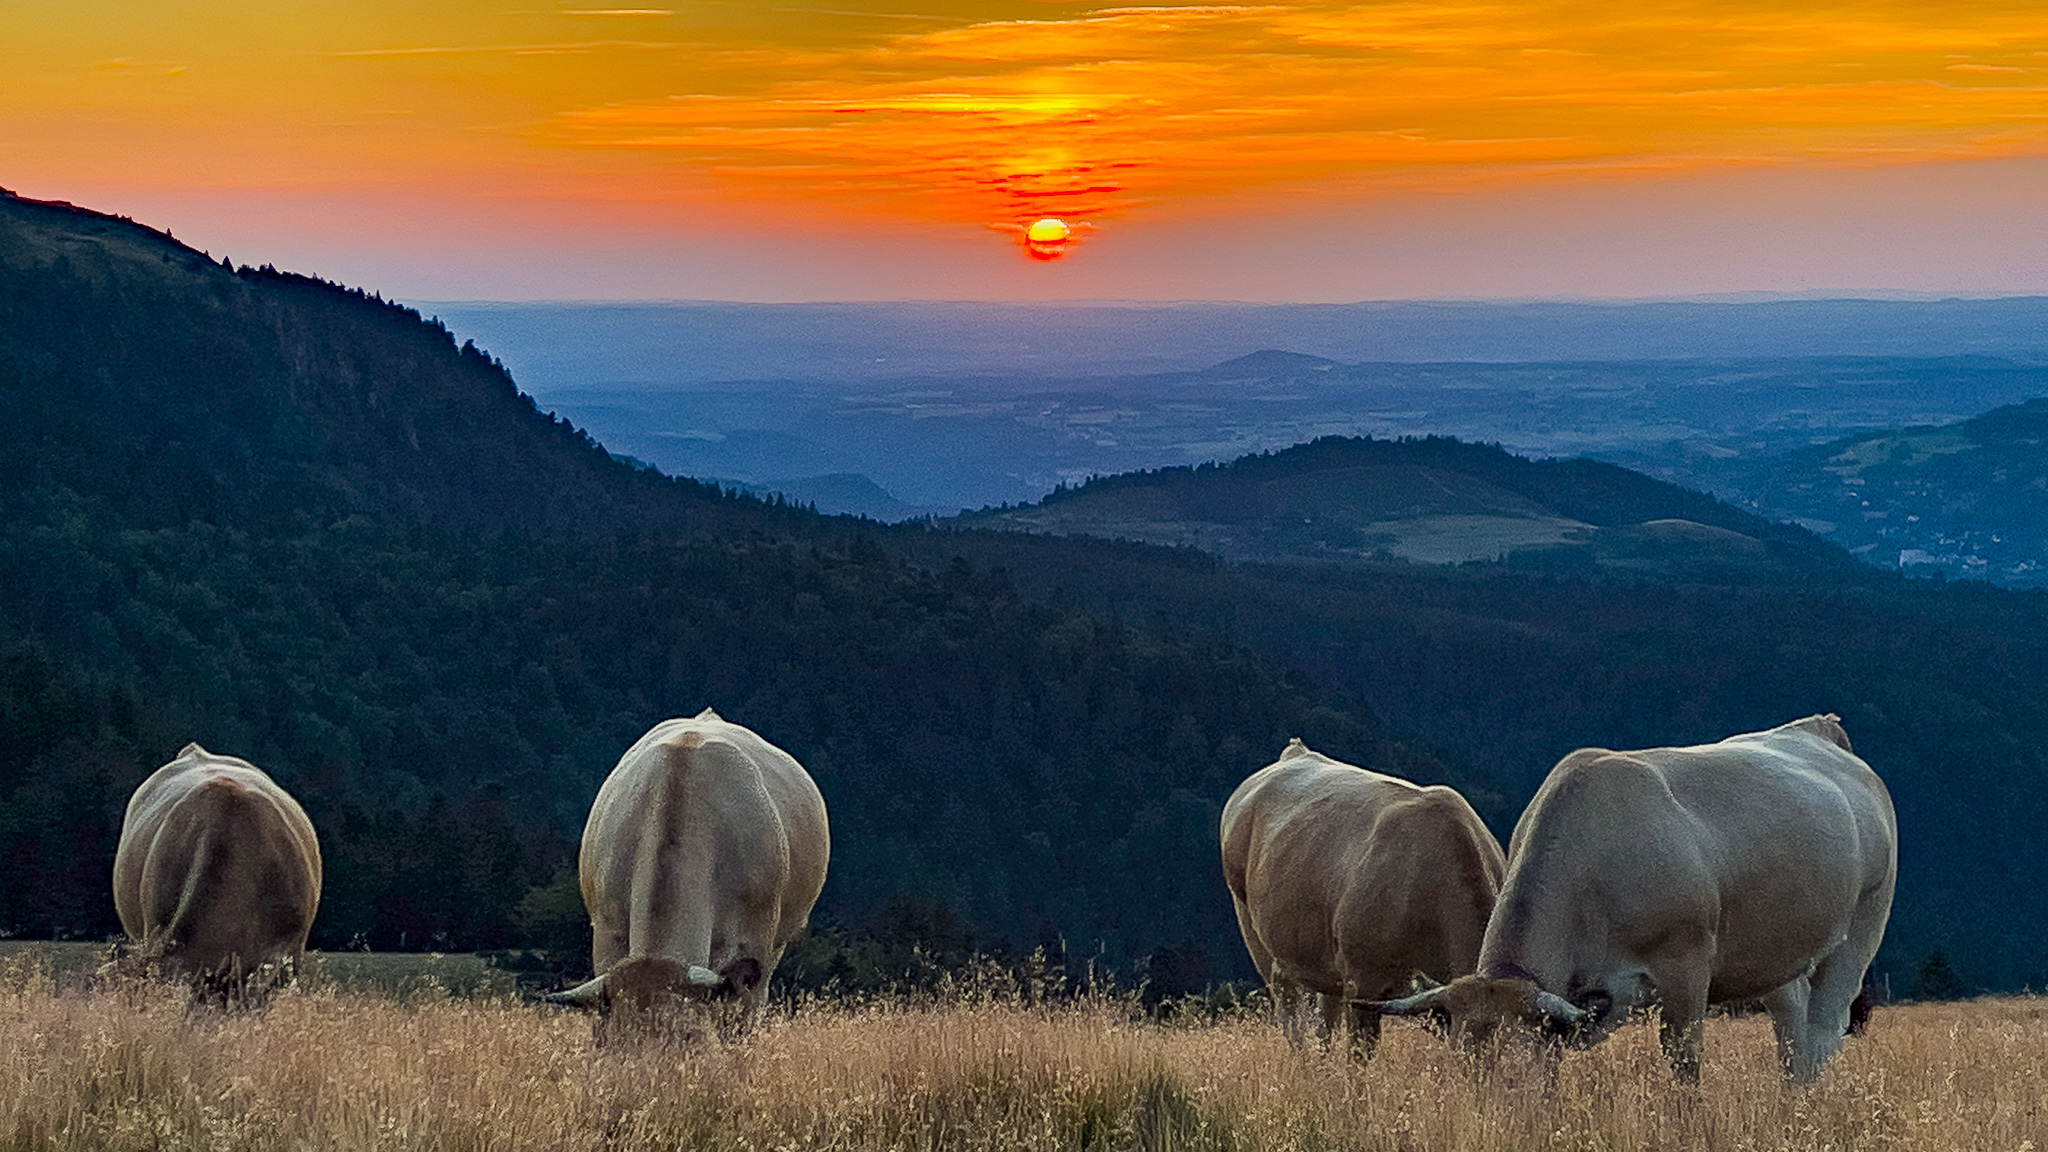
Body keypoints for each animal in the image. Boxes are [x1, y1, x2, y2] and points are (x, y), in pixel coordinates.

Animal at [1212, 733, 1507, 1049]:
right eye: (1467, 1037)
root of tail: (1295, 753)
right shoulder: (1363, 982)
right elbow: (1359, 1050)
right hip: (1257, 936)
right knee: (1290, 1015)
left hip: (1322, 957)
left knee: (1324, 1018)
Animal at [1368, 713, 1892, 1082]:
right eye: (1463, 1072)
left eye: (1516, 1072)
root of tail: (1818, 731)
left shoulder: (1686, 966)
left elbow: (1684, 1066)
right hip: (1777, 957)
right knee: (1792, 1034)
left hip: (1861, 931)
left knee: (1822, 1035)